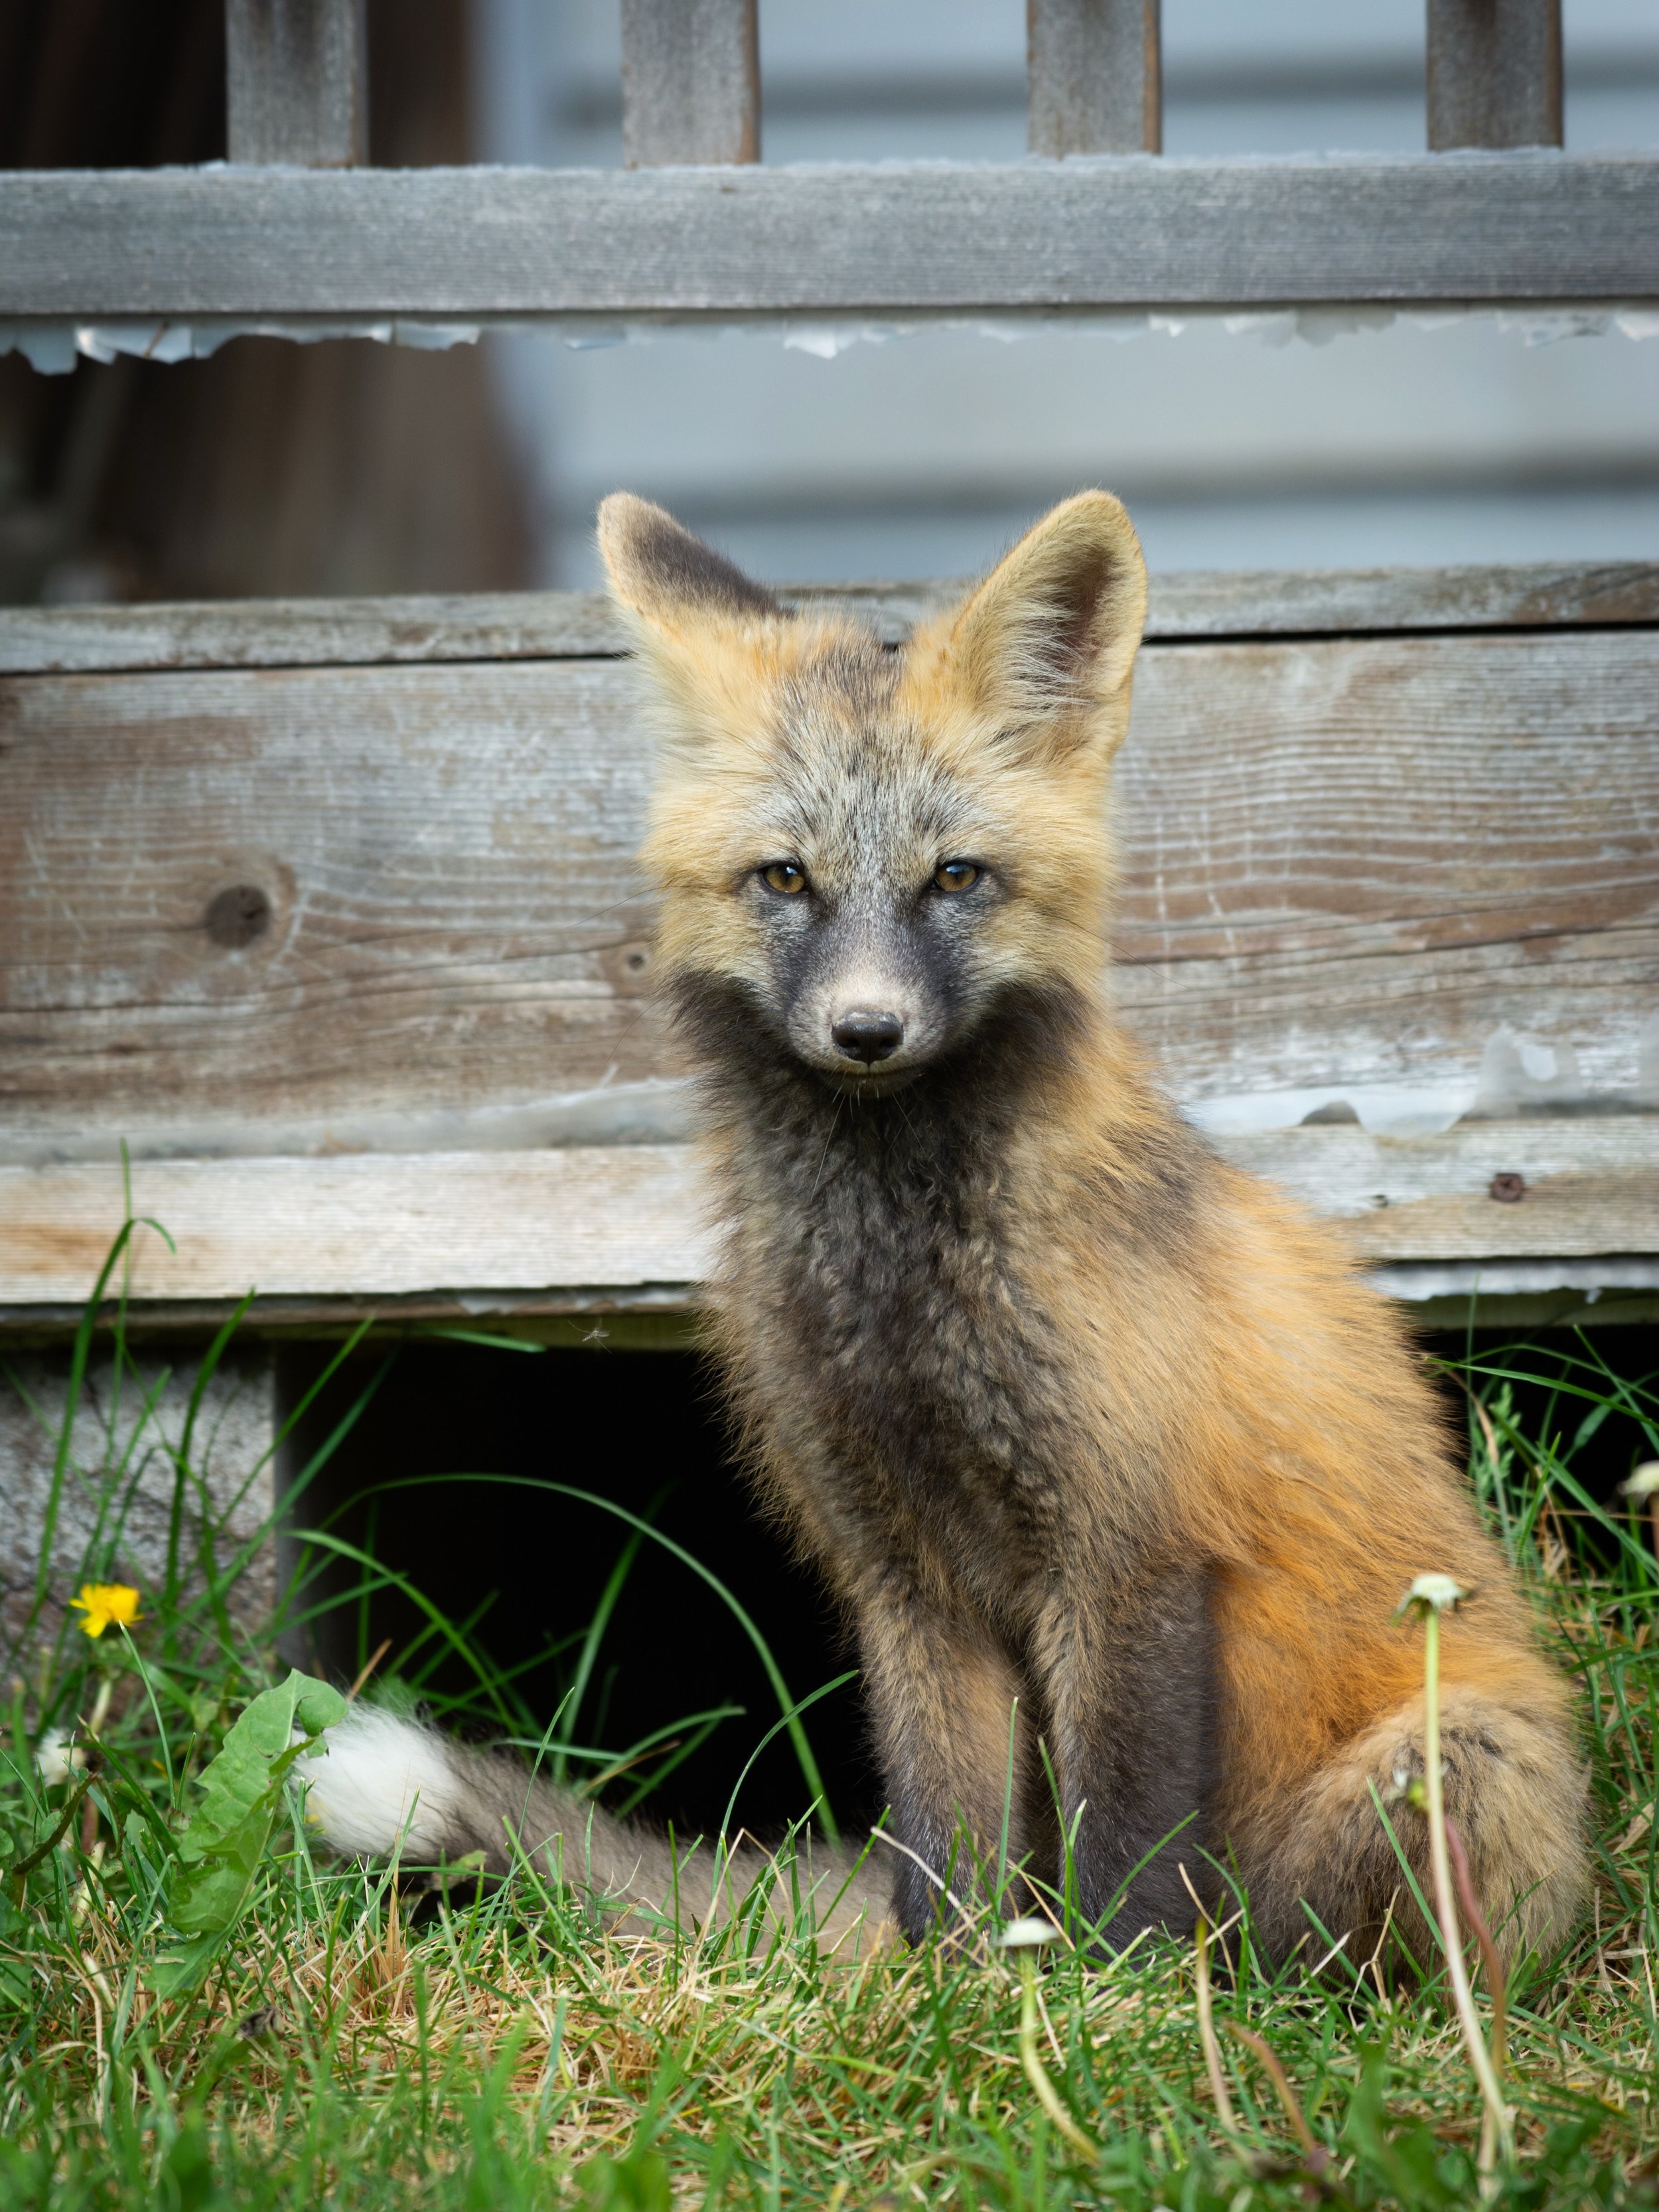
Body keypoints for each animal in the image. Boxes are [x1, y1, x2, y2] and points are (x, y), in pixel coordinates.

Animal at [300, 489, 1585, 1970]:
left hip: (1453, 1758)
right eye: (783, 879)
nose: (866, 1028)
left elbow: (1125, 1844)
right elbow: (944, 1852)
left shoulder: (1128, 1549)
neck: (901, 1293)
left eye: (954, 877)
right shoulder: (900, 1574)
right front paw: (958, 1996)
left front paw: (1118, 1999)